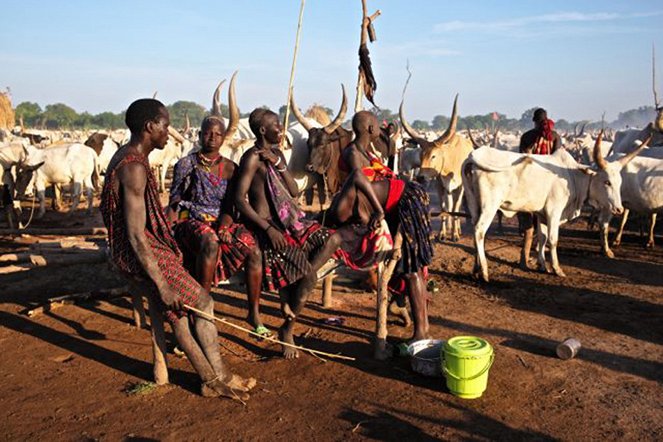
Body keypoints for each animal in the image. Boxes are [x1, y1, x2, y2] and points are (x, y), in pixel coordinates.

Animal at [462, 132, 644, 284]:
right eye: (607, 182)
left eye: (619, 182)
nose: (619, 209)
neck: (572, 176)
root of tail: (472, 157)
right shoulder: (553, 212)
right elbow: (553, 240)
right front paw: (557, 269)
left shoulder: (542, 214)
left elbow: (542, 238)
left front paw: (543, 265)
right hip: (489, 206)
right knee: (479, 231)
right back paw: (485, 272)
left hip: (474, 204)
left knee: (475, 229)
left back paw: (476, 269)